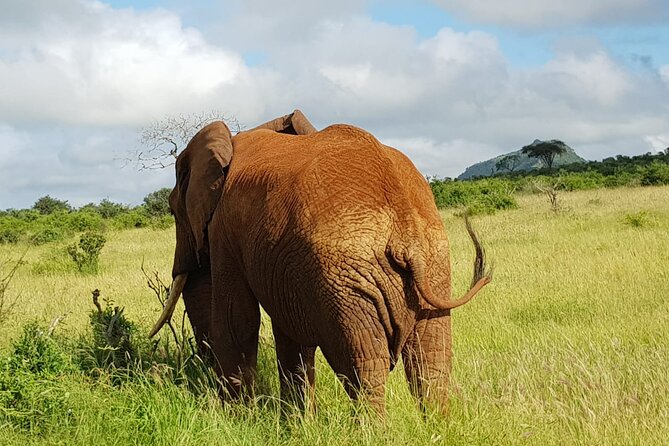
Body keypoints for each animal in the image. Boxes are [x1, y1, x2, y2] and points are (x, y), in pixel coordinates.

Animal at [149, 110, 491, 415]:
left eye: (173, 210)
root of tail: (405, 224)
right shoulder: (282, 259)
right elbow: (289, 333)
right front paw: (296, 424)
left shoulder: (225, 229)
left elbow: (236, 322)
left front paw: (241, 420)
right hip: (432, 269)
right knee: (430, 365)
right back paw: (437, 428)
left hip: (347, 280)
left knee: (363, 368)